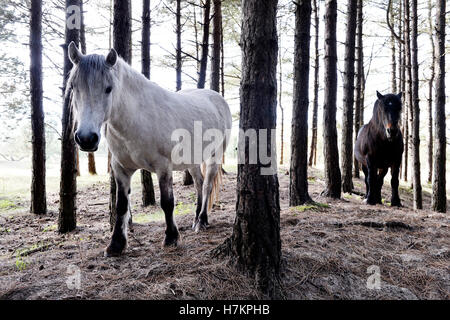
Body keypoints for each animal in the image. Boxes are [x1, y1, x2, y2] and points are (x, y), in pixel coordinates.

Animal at [67, 42, 232, 258]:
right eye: (73, 87)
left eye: (108, 88)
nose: (86, 138)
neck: (137, 119)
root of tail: (217, 98)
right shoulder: (120, 168)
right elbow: (121, 205)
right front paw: (116, 244)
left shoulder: (163, 167)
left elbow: (167, 202)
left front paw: (171, 238)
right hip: (193, 161)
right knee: (198, 184)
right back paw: (196, 219)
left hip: (214, 157)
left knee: (207, 186)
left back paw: (202, 221)